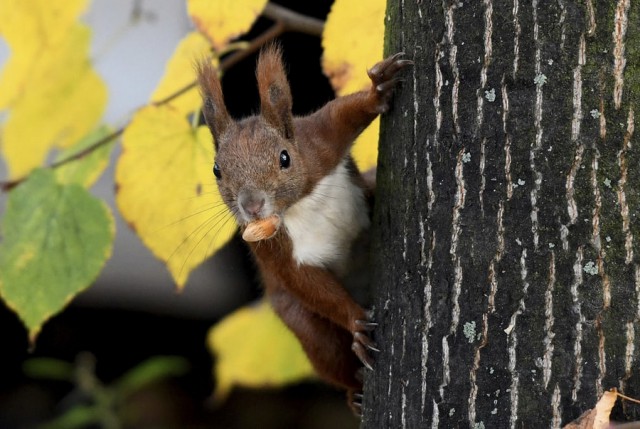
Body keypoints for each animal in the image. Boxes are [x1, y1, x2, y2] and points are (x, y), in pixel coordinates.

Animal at [198, 46, 412, 412]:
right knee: (331, 356)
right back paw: (355, 392)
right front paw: (356, 323)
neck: (297, 204)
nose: (252, 205)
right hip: (306, 328)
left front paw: (379, 89)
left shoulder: (319, 142)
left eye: (285, 158)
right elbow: (304, 281)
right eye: (216, 170)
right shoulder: (269, 247)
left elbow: (345, 114)